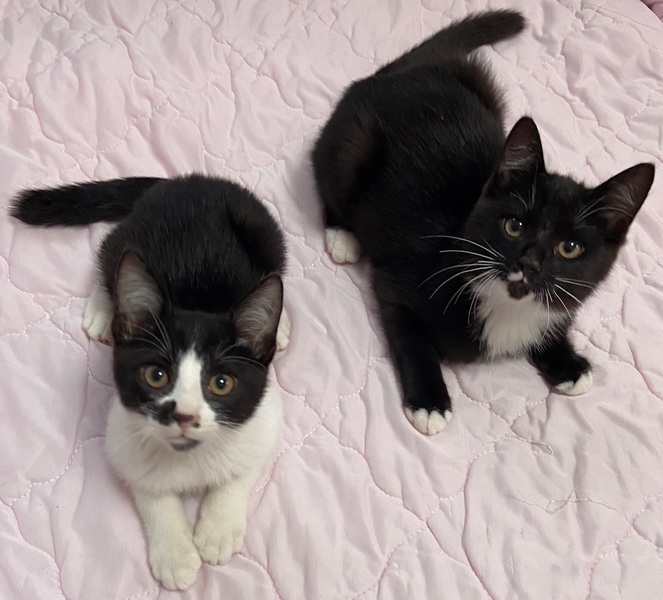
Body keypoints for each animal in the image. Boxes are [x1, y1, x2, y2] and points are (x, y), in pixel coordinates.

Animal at [11, 174, 289, 590]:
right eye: (156, 376)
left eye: (221, 382)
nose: (185, 415)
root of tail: (187, 179)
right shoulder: (122, 435)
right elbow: (149, 486)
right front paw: (175, 553)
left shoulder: (264, 418)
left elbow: (241, 467)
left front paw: (218, 531)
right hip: (130, 235)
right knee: (110, 257)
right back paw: (103, 310)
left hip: (264, 230)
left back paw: (282, 324)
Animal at [312, 10, 655, 435]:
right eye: (514, 226)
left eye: (569, 248)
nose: (529, 263)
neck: (504, 304)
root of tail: (393, 74)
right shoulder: (399, 280)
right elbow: (409, 336)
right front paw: (429, 401)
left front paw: (568, 363)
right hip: (355, 144)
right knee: (327, 173)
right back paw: (342, 234)